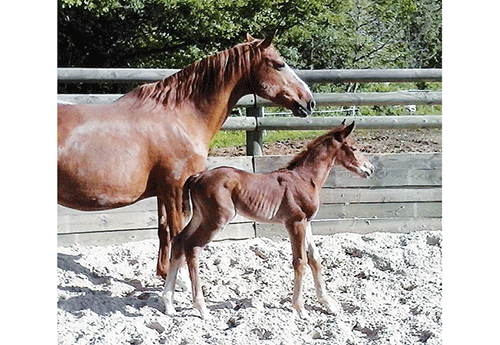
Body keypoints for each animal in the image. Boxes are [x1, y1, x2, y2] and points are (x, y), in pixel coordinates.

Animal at [164, 120, 376, 318]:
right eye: (354, 148)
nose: (371, 169)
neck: (304, 179)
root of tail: (198, 177)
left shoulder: (306, 223)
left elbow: (314, 259)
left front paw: (329, 304)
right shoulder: (295, 223)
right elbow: (300, 261)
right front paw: (300, 308)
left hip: (200, 216)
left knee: (179, 241)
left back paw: (169, 305)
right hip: (216, 220)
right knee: (192, 247)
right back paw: (202, 308)